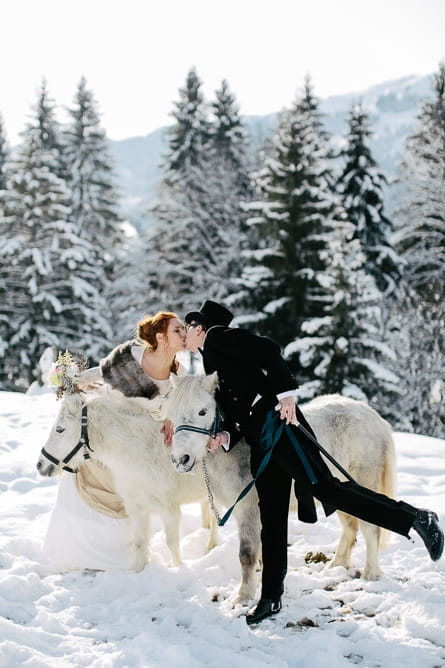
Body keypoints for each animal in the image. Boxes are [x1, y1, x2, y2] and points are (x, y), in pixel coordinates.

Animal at [38, 384, 262, 604]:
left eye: (60, 429)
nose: (40, 464)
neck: (140, 452)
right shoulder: (136, 509)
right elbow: (139, 543)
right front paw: (139, 573)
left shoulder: (169, 510)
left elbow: (172, 543)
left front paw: (178, 570)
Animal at [167, 374, 396, 580]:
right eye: (172, 414)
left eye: (202, 411)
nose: (180, 459)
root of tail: (376, 419)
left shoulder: (249, 508)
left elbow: (247, 553)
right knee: (349, 527)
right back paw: (337, 565)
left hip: (365, 478)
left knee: (370, 527)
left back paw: (371, 574)